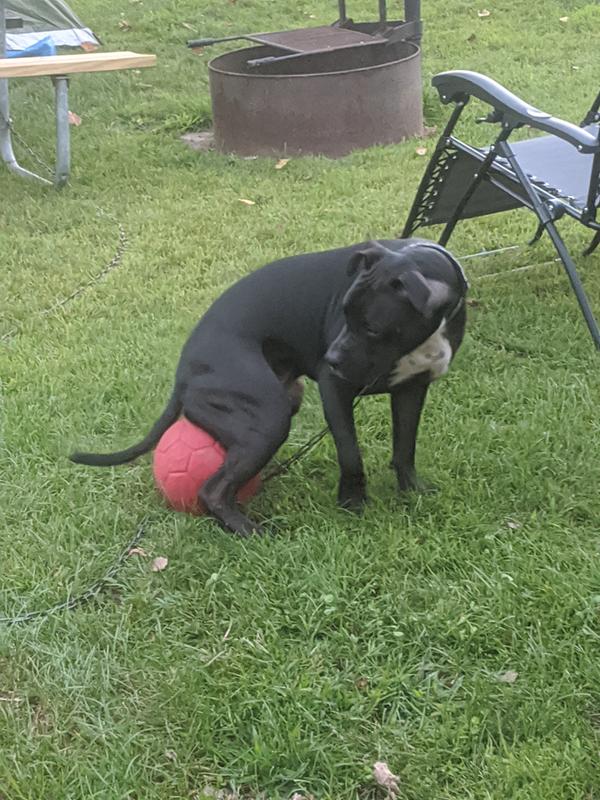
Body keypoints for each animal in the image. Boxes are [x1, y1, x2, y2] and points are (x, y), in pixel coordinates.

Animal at [69, 238, 464, 536]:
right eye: (345, 313)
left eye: (372, 327)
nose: (331, 358)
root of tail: (184, 371)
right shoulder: (336, 391)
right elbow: (351, 454)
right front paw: (353, 503)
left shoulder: (412, 390)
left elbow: (405, 447)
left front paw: (412, 491)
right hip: (268, 418)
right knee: (212, 490)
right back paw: (249, 531)